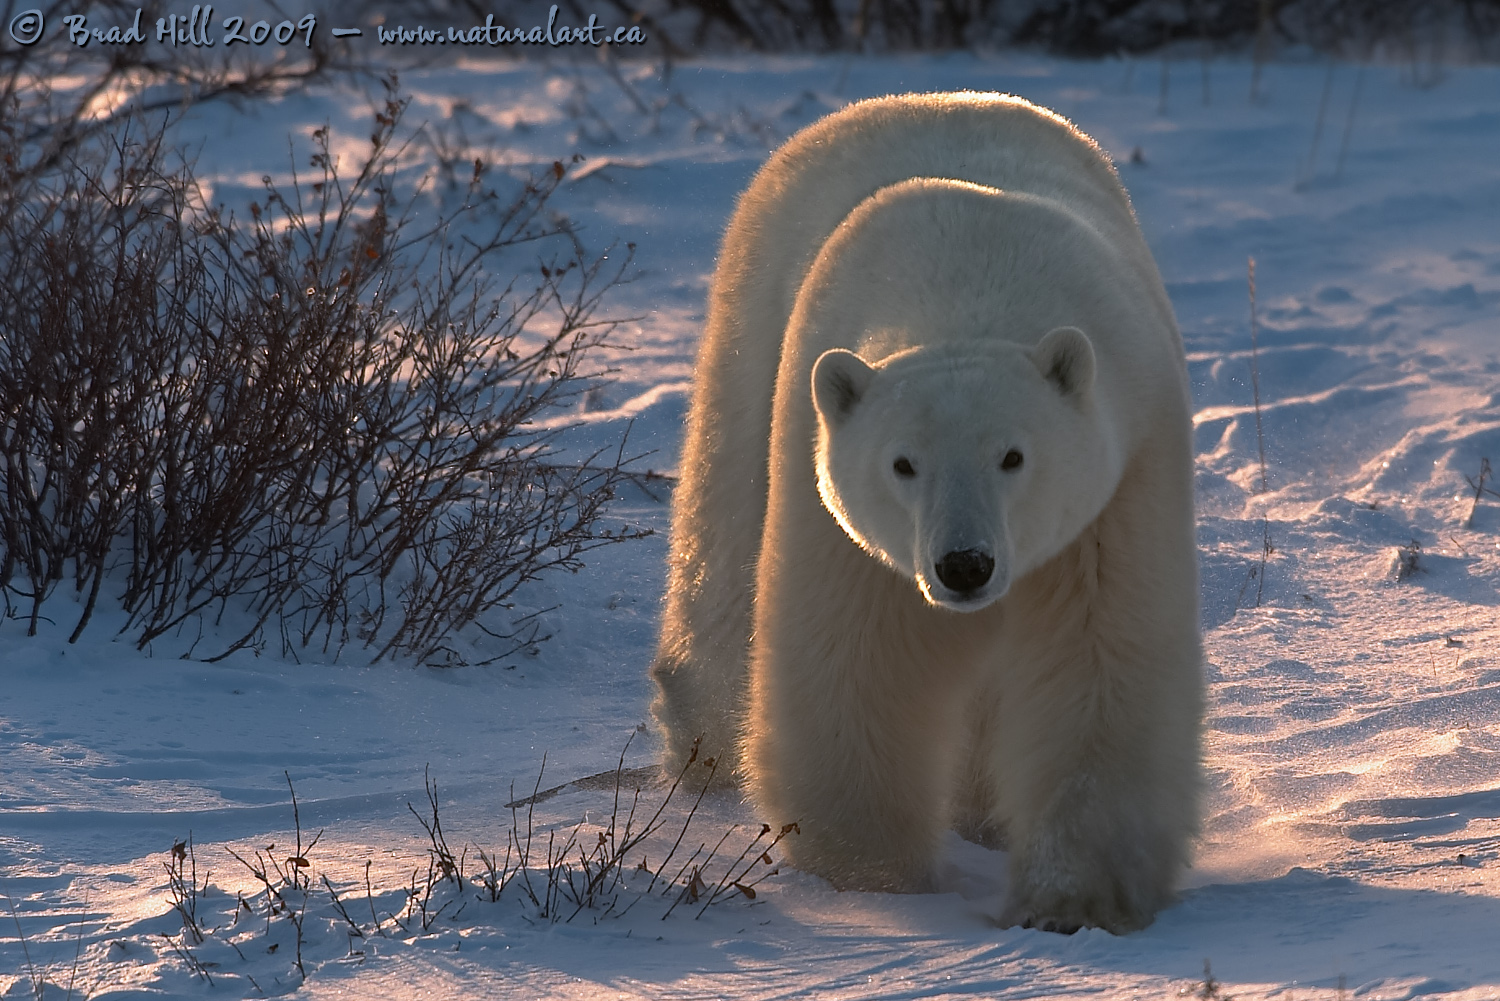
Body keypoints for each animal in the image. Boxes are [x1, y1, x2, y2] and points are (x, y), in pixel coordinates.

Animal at [651, 91, 1200, 930]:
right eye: (903, 463)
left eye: (1013, 456)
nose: (964, 565)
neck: (975, 283)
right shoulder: (832, 496)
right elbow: (858, 661)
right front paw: (871, 875)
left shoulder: (1123, 476)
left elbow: (1101, 666)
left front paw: (1071, 898)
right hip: (751, 324)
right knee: (724, 541)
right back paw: (703, 742)